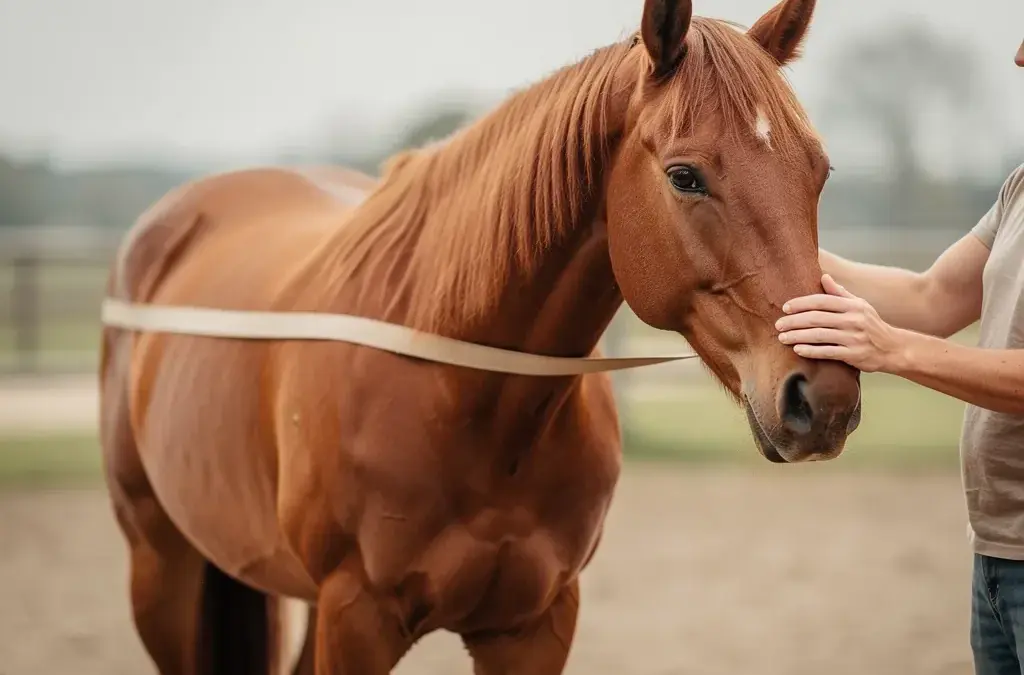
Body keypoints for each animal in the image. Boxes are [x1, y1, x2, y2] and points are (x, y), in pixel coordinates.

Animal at [98, 0, 861, 672]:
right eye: (685, 175)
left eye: (818, 172)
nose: (822, 399)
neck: (465, 395)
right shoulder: (357, 620)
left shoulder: (534, 626)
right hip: (162, 572)